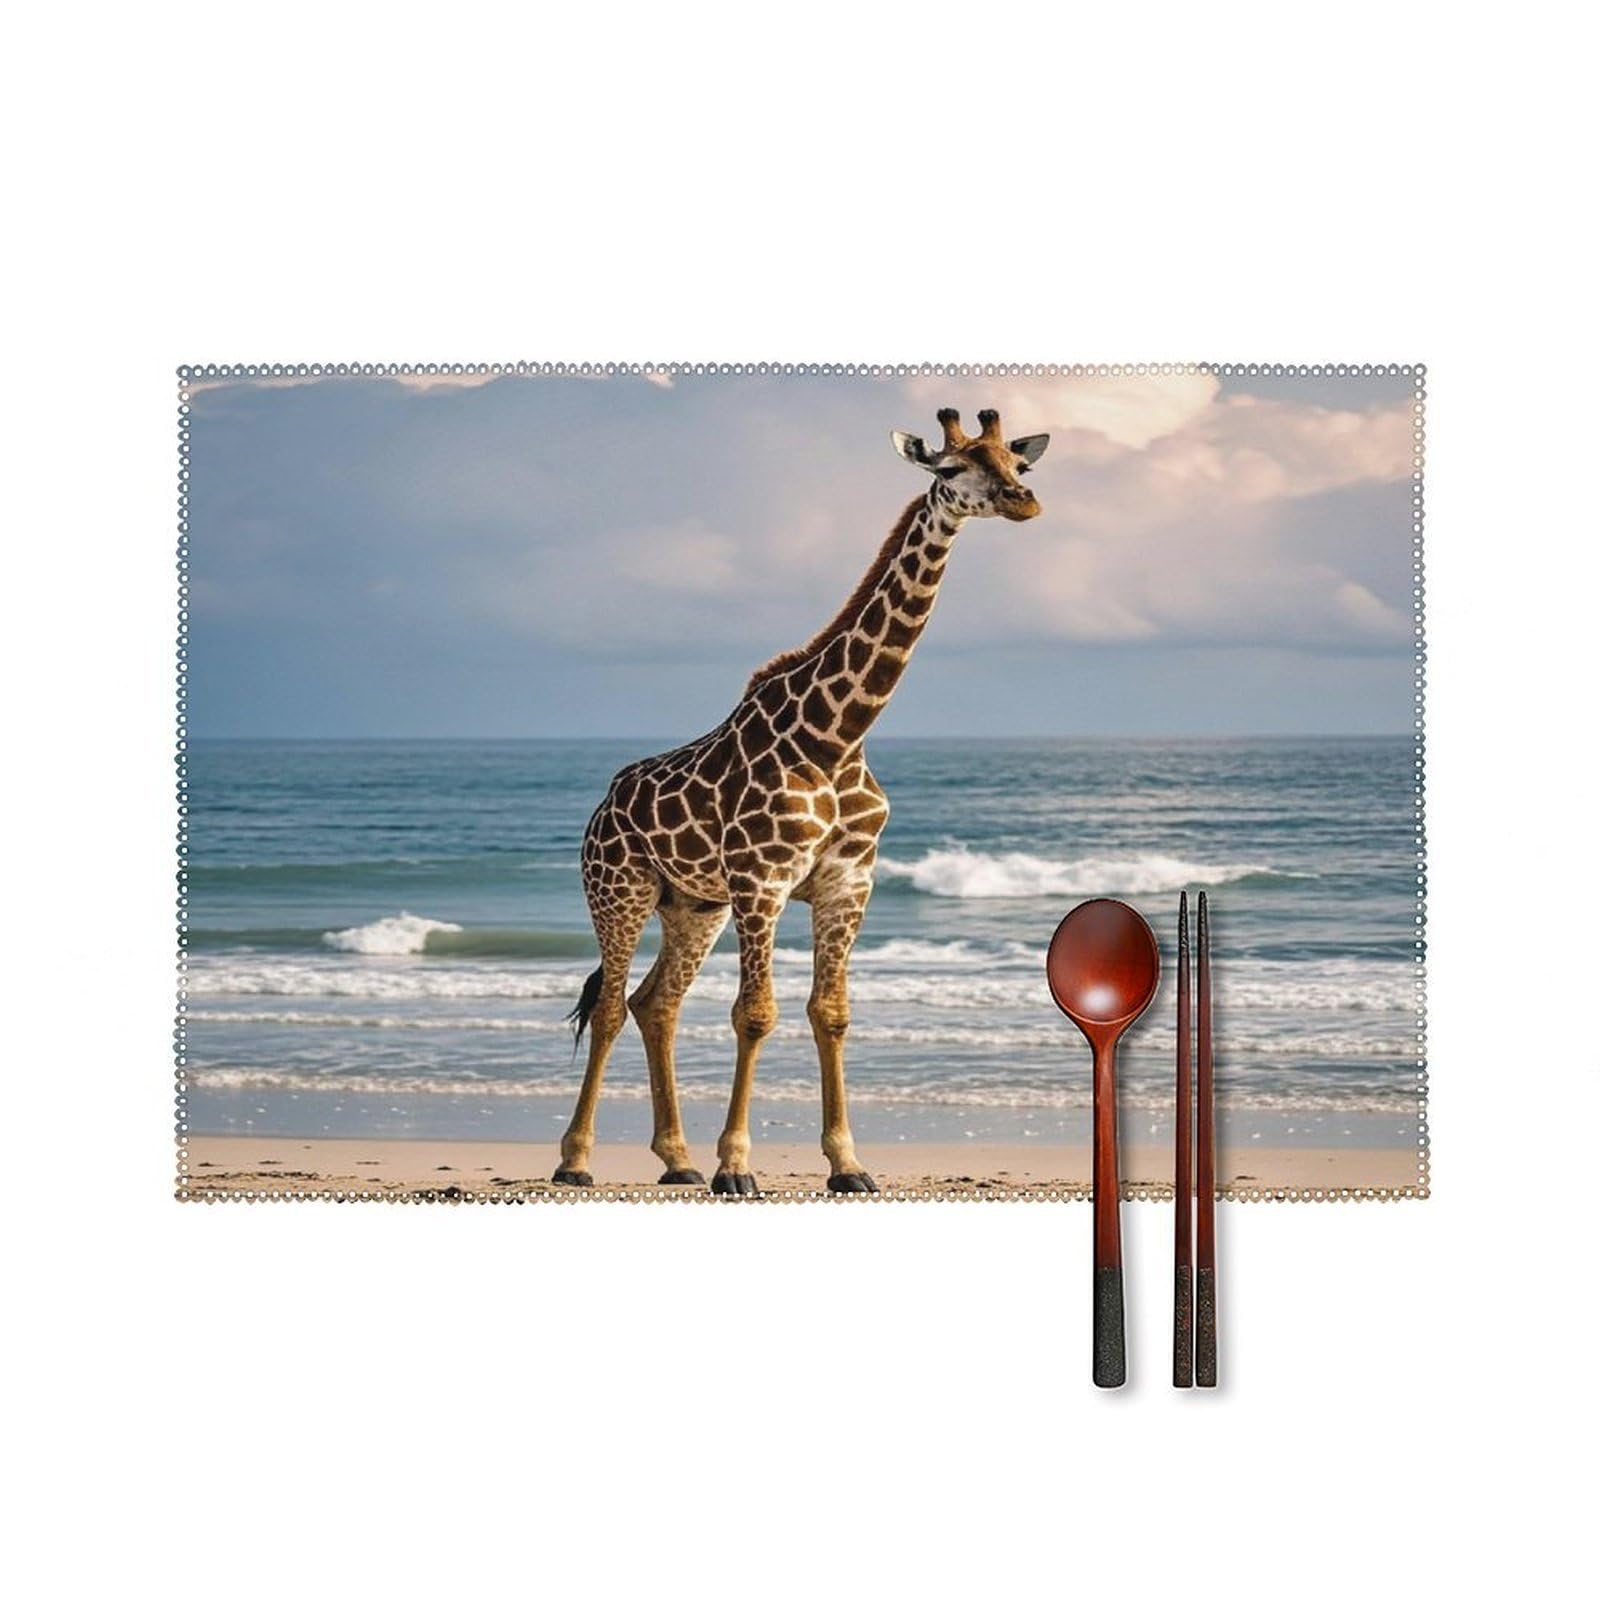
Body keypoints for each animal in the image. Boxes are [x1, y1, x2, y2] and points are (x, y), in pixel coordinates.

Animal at [553, 407, 1050, 1194]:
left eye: (1018, 465)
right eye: (949, 469)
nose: (1021, 502)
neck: (836, 736)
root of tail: (601, 808)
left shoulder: (848, 883)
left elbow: (831, 1012)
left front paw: (847, 1163)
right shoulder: (763, 882)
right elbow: (755, 1014)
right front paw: (736, 1166)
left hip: (693, 907)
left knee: (654, 1003)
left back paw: (677, 1159)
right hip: (618, 889)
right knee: (607, 1007)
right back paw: (576, 1159)